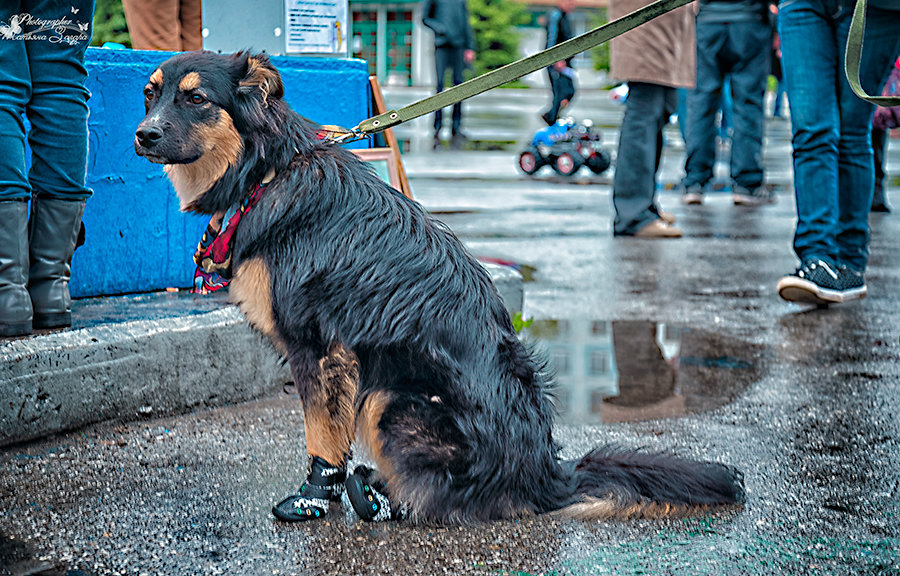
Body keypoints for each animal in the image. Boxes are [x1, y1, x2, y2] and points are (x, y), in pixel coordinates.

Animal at [132, 51, 740, 524]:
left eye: (196, 98)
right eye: (149, 94)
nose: (143, 135)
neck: (265, 170)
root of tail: (548, 475)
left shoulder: (321, 350)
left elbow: (322, 437)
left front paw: (312, 500)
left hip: (390, 399)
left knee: (447, 499)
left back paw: (382, 498)